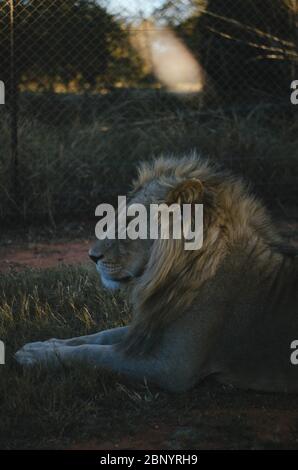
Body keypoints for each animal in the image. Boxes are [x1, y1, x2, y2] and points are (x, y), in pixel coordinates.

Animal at [15, 154, 298, 392]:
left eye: (131, 222)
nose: (91, 256)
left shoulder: (170, 366)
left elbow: (93, 355)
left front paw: (34, 356)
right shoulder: (151, 325)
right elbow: (97, 336)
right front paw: (43, 344)